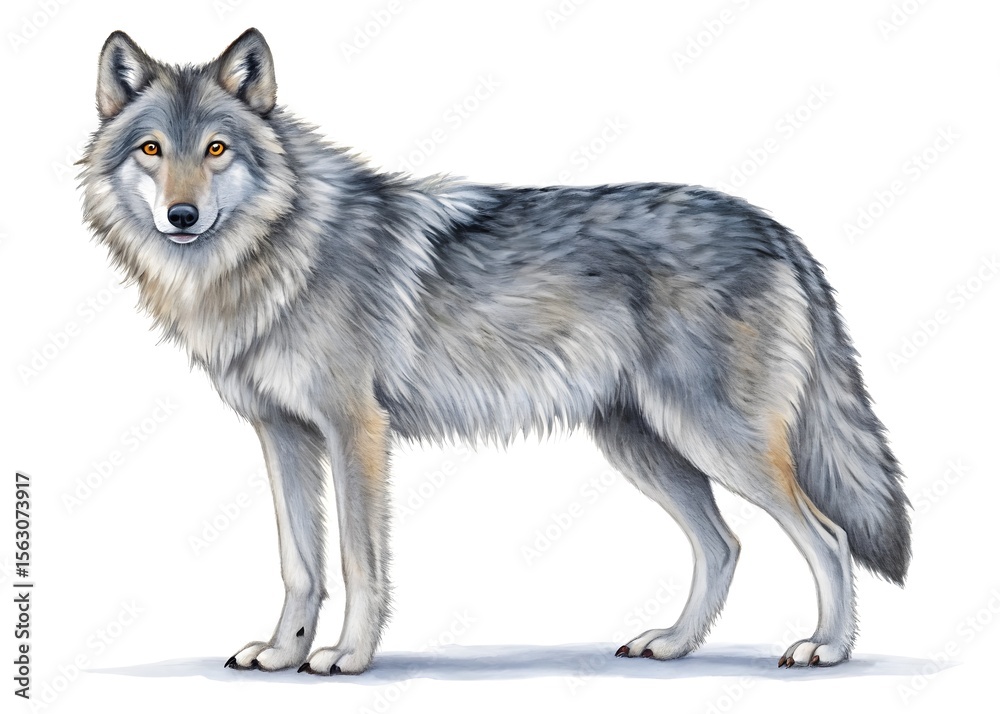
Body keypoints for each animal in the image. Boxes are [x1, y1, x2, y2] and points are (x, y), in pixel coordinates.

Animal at [80, 28, 910, 674]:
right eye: (153, 149)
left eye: (216, 149)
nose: (181, 215)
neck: (275, 255)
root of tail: (777, 229)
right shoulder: (281, 434)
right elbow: (299, 564)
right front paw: (284, 654)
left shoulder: (357, 431)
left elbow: (357, 560)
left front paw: (346, 657)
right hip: (645, 446)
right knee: (725, 545)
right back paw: (673, 645)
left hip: (716, 442)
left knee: (828, 536)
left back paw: (826, 649)